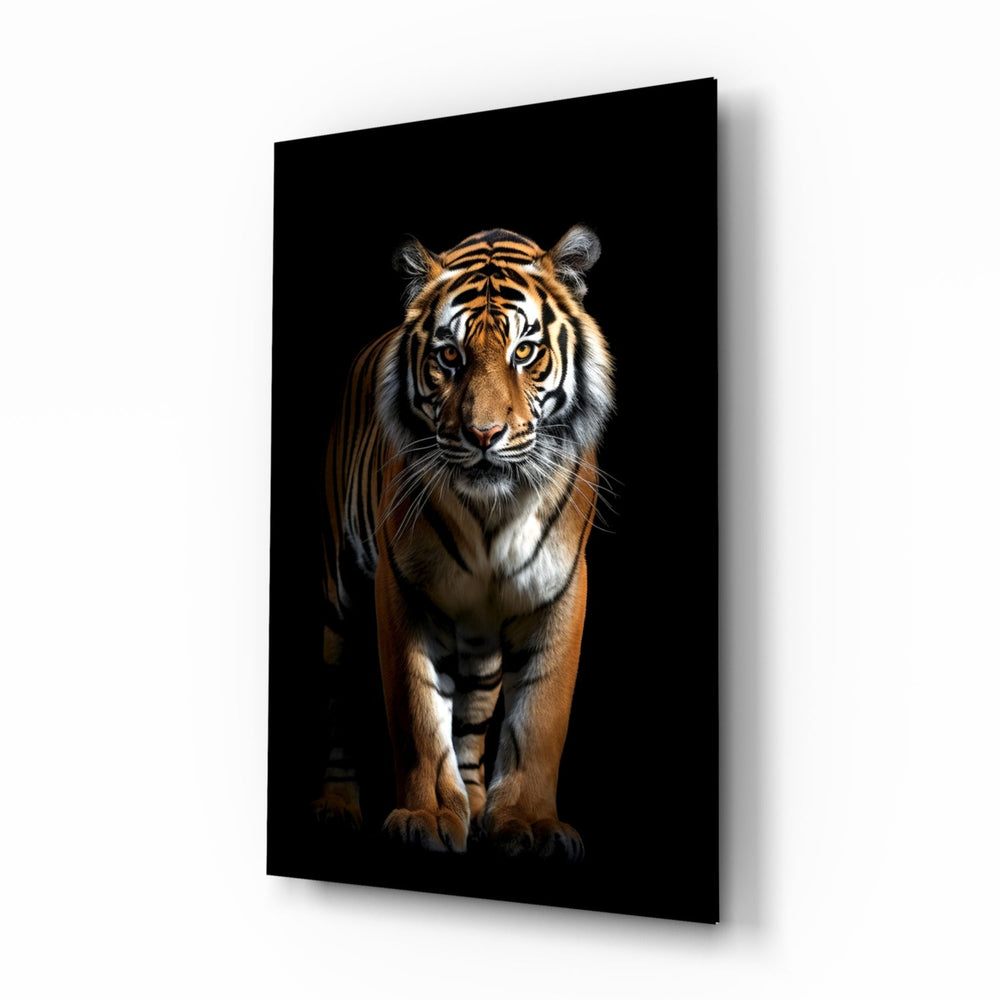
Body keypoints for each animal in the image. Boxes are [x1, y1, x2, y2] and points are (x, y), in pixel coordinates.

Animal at [315, 225, 615, 861]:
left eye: (524, 352)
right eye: (449, 356)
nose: (483, 434)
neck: (494, 512)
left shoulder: (560, 589)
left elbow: (540, 717)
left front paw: (529, 823)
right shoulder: (401, 586)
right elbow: (418, 713)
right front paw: (426, 816)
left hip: (479, 634)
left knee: (475, 712)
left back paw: (476, 804)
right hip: (341, 593)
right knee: (339, 701)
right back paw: (336, 806)